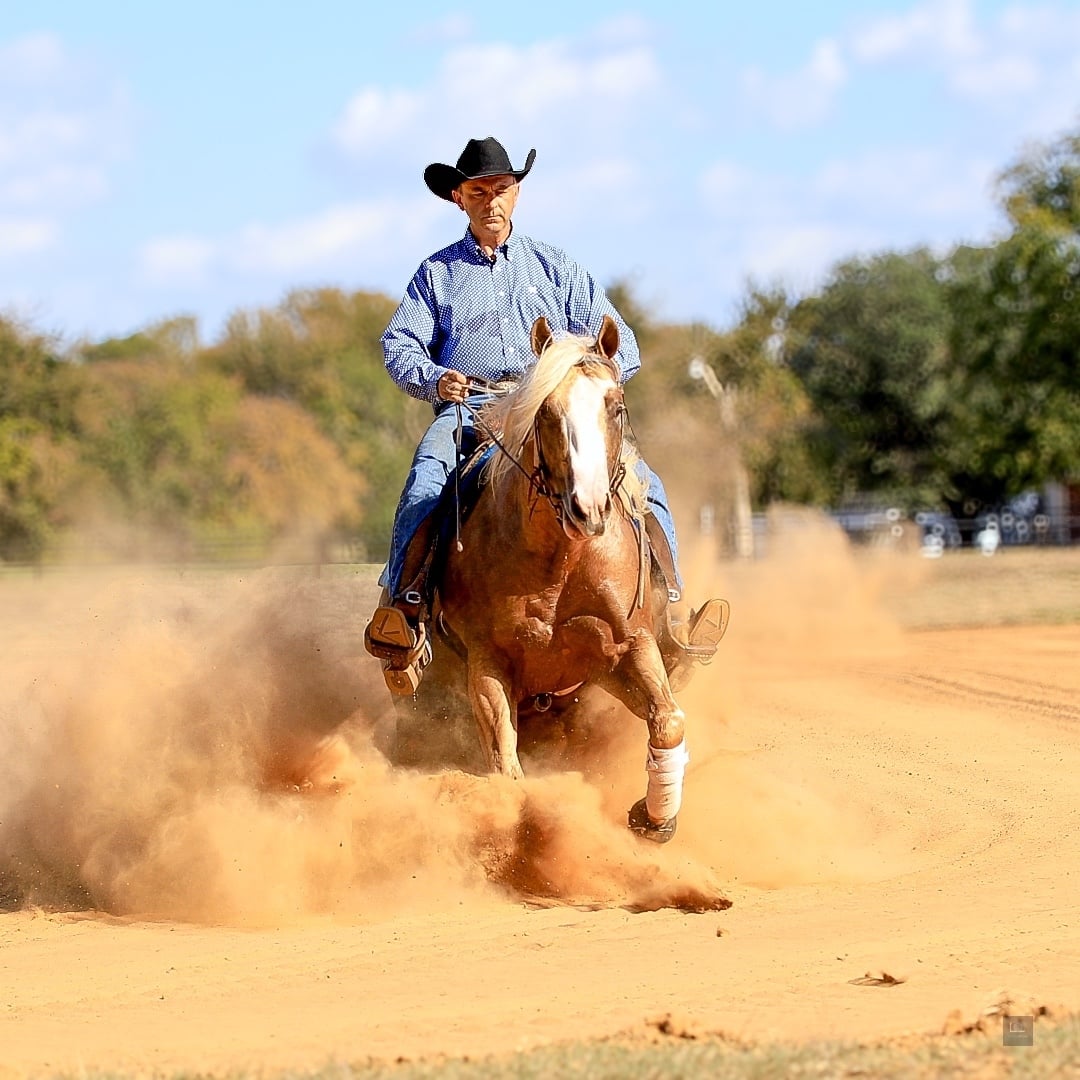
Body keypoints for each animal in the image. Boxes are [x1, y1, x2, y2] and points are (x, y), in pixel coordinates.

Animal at [407, 314, 697, 843]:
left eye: (616, 406)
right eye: (546, 409)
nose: (588, 507)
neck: (559, 565)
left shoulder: (627, 647)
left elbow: (667, 721)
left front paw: (653, 817)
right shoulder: (487, 663)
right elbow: (506, 768)